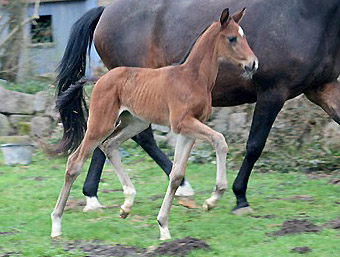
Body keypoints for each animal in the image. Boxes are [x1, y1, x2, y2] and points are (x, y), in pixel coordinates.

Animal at [51, 8, 258, 240]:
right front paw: (213, 199)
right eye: (232, 38)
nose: (253, 63)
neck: (193, 78)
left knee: (109, 145)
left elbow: (176, 175)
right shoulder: (182, 123)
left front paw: (163, 226)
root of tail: (99, 79)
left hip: (134, 123)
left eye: (243, 36)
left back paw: (127, 204)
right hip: (101, 124)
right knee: (75, 161)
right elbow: (220, 140)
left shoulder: (188, 130)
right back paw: (56, 224)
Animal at [55, 0, 340, 213]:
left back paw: (93, 196)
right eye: (233, 39)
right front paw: (239, 198)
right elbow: (254, 146)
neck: (306, 14)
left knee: (109, 141)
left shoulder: (323, 88)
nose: (253, 64)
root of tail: (105, 11)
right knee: (133, 138)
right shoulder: (273, 92)